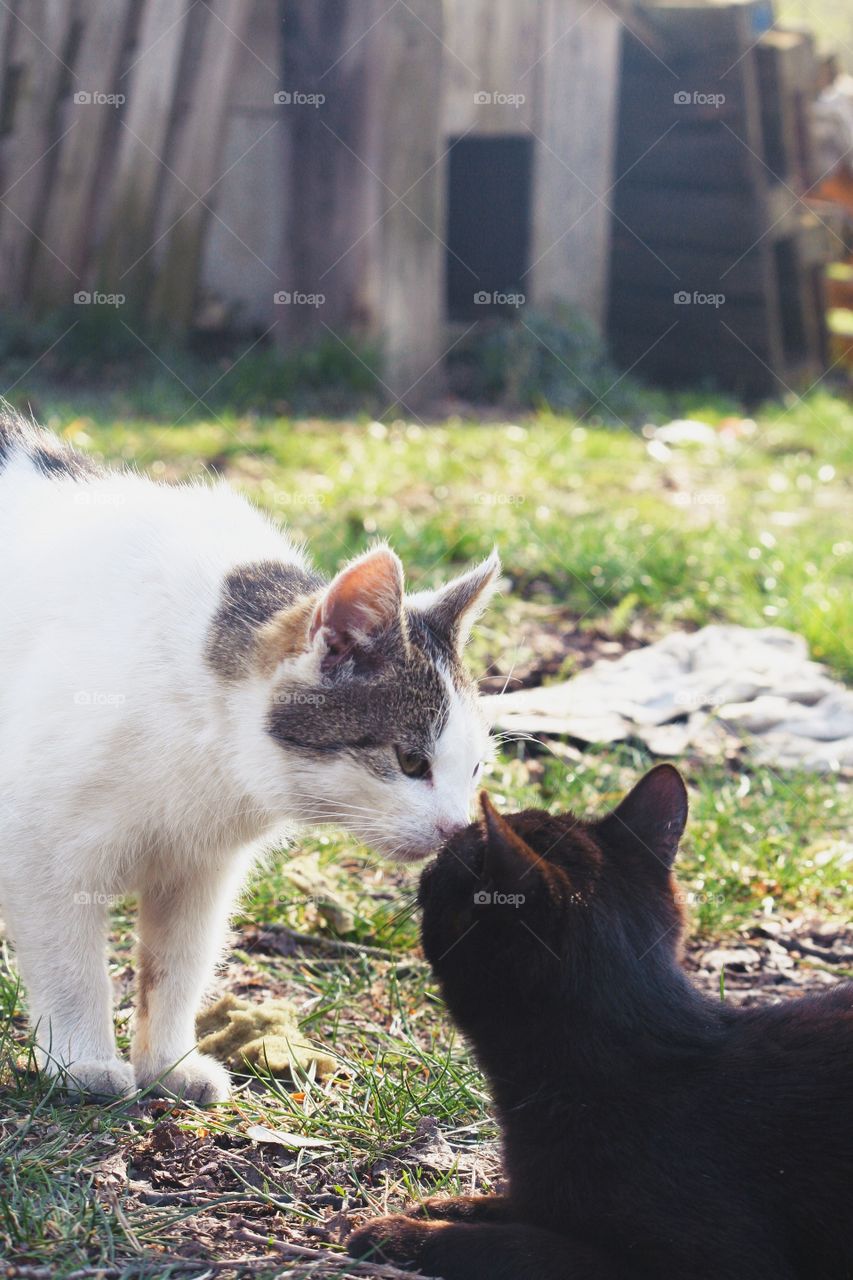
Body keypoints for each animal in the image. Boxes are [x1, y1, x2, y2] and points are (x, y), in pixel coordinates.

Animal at [0, 407, 499, 1100]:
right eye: (410, 762)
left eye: (474, 768)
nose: (455, 829)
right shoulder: (40, 855)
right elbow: (71, 968)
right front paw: (83, 1063)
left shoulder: (200, 870)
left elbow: (177, 967)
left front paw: (169, 1065)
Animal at [345, 762, 850, 1274]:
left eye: (456, 855)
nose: (432, 856)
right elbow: (514, 1205)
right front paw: (443, 1207)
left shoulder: (716, 1261)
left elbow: (519, 1247)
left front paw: (400, 1235)